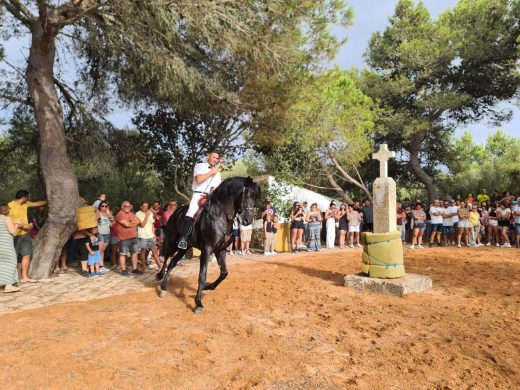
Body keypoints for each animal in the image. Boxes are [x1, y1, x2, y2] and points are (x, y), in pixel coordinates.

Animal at [154, 177, 260, 314]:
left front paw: (209, 287)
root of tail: (175, 212)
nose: (247, 221)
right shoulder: (207, 250)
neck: (221, 215)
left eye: (255, 197)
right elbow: (202, 275)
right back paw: (160, 278)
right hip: (172, 242)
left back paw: (164, 287)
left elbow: (224, 272)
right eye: (246, 195)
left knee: (172, 263)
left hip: (185, 248)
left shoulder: (220, 250)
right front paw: (198, 303)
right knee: (167, 256)